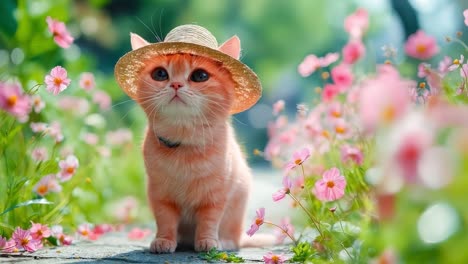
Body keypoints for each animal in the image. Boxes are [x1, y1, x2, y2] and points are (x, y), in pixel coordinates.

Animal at [114, 25, 264, 254]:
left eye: (200, 75)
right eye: (160, 74)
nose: (176, 84)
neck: (184, 143)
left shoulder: (216, 197)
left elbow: (208, 221)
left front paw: (208, 242)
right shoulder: (160, 196)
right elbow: (165, 221)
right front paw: (164, 240)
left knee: (235, 239)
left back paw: (225, 242)